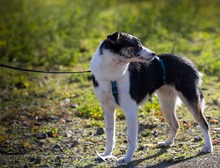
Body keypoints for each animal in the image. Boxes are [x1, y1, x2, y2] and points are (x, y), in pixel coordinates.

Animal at [89, 32, 213, 163]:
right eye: (136, 45)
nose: (154, 54)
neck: (112, 74)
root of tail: (189, 62)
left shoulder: (131, 110)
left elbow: (131, 139)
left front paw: (127, 158)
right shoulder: (108, 109)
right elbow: (110, 135)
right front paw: (106, 154)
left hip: (189, 99)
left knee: (204, 123)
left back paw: (208, 147)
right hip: (166, 104)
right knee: (175, 125)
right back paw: (167, 142)